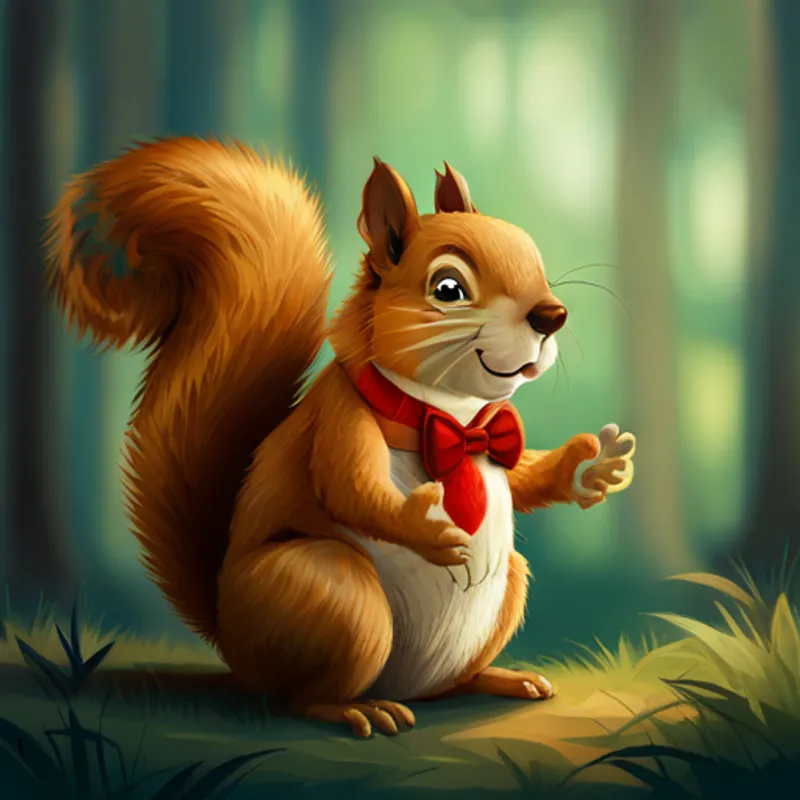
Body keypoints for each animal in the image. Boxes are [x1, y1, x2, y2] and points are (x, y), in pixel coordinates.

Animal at [46, 137, 636, 738]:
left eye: (532, 254)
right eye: (448, 288)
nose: (552, 314)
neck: (448, 417)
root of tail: (231, 641)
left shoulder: (492, 440)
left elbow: (520, 479)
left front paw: (592, 466)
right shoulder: (338, 418)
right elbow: (349, 488)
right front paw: (424, 522)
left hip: (507, 583)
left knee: (451, 680)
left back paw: (502, 678)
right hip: (337, 598)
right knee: (299, 699)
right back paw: (357, 709)